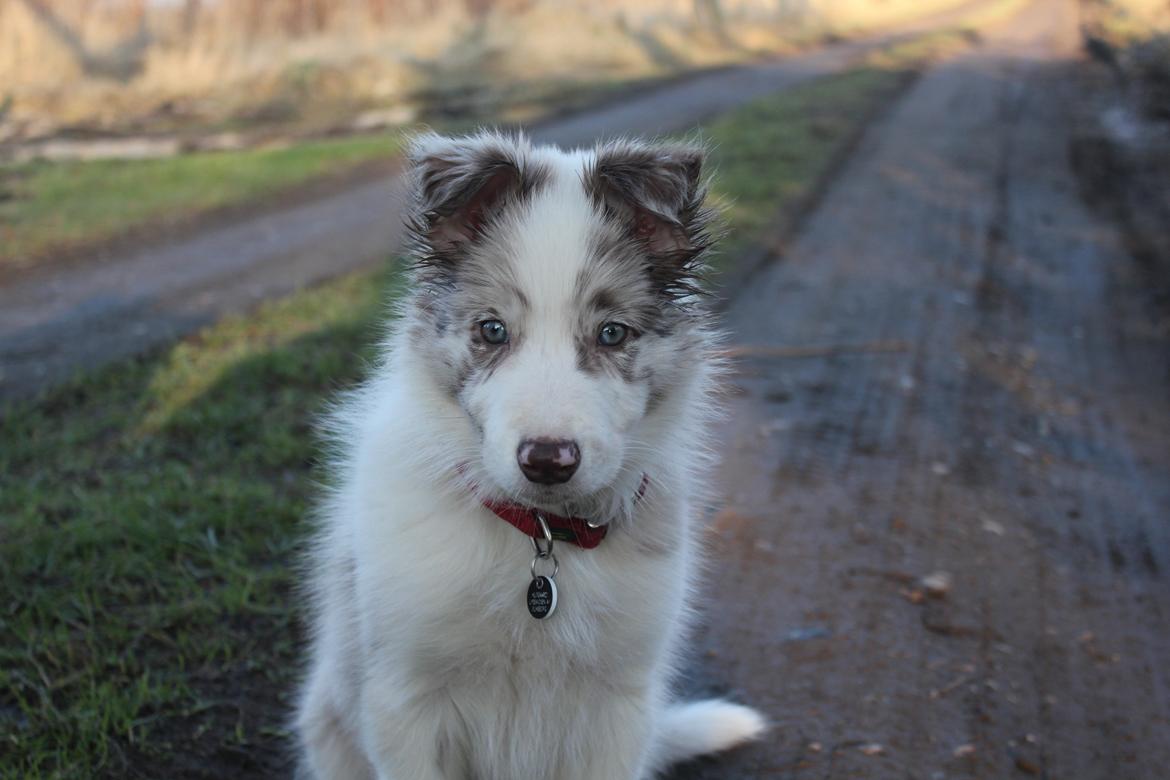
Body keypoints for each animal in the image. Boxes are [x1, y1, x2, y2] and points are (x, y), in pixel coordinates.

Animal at [297, 130, 762, 776]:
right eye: (492, 330)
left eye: (612, 333)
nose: (548, 460)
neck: (540, 537)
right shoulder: (402, 699)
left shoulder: (621, 701)